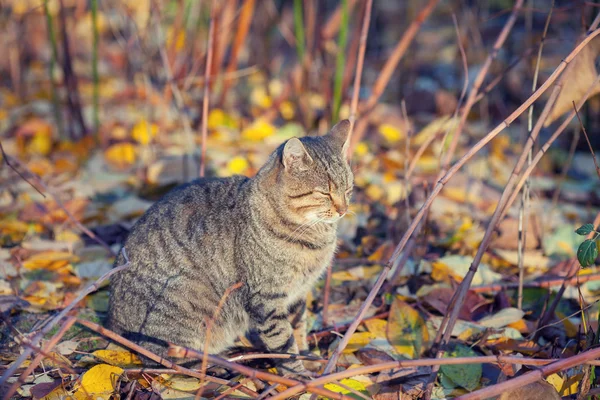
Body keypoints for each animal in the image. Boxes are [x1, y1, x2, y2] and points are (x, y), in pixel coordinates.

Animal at [106, 119, 354, 376]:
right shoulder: (266, 299)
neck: (312, 237)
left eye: (348, 189)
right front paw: (299, 376)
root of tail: (112, 322)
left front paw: (307, 358)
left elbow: (299, 327)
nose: (343, 209)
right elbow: (284, 344)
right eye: (324, 193)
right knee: (166, 359)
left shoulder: (297, 294)